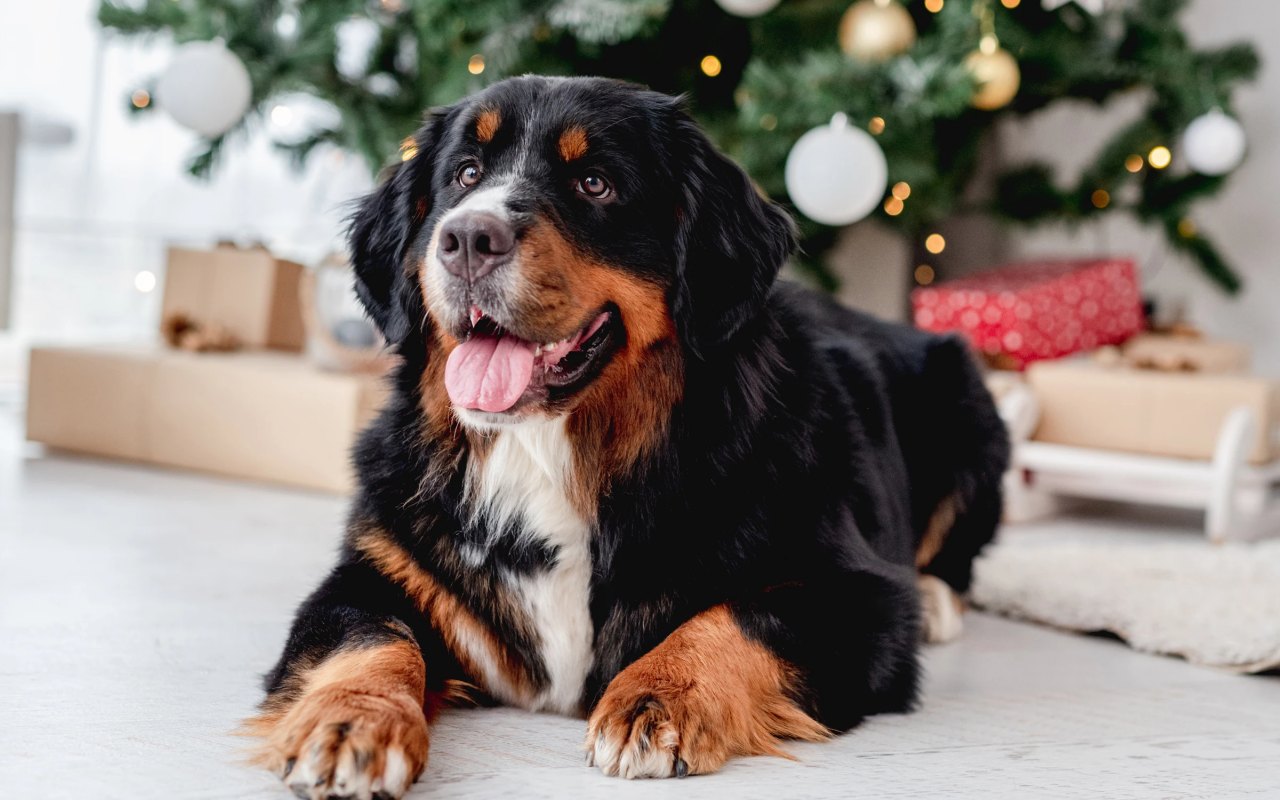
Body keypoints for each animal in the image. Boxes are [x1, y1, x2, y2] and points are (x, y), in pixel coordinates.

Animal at [247, 76, 1008, 798]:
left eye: (596, 183)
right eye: (464, 174)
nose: (465, 240)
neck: (551, 452)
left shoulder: (859, 597)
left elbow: (736, 617)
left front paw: (659, 696)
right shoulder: (376, 568)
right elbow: (369, 638)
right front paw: (349, 724)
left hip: (970, 403)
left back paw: (938, 600)